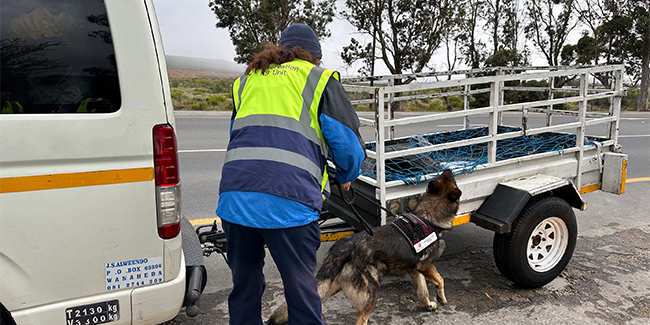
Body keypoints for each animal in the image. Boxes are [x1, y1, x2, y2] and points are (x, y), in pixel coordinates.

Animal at [268, 168, 460, 322]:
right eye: (453, 179)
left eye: (445, 176)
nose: (449, 169)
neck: (426, 217)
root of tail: (344, 246)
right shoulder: (425, 265)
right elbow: (440, 279)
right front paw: (441, 297)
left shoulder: (415, 269)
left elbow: (422, 290)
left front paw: (428, 304)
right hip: (370, 294)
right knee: (361, 319)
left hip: (329, 287)